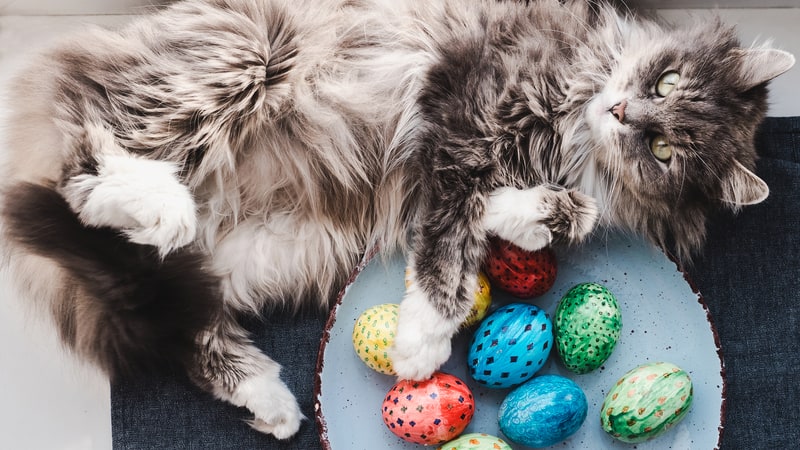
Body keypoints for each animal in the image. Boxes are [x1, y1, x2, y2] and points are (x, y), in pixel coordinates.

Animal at [0, 0, 792, 440]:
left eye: (664, 149)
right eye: (665, 81)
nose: (624, 111)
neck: (573, 124)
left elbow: (529, 213)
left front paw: (534, 216)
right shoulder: (460, 111)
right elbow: (449, 234)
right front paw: (420, 343)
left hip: (276, 250)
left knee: (180, 320)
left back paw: (271, 400)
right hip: (241, 55)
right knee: (77, 171)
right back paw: (155, 203)